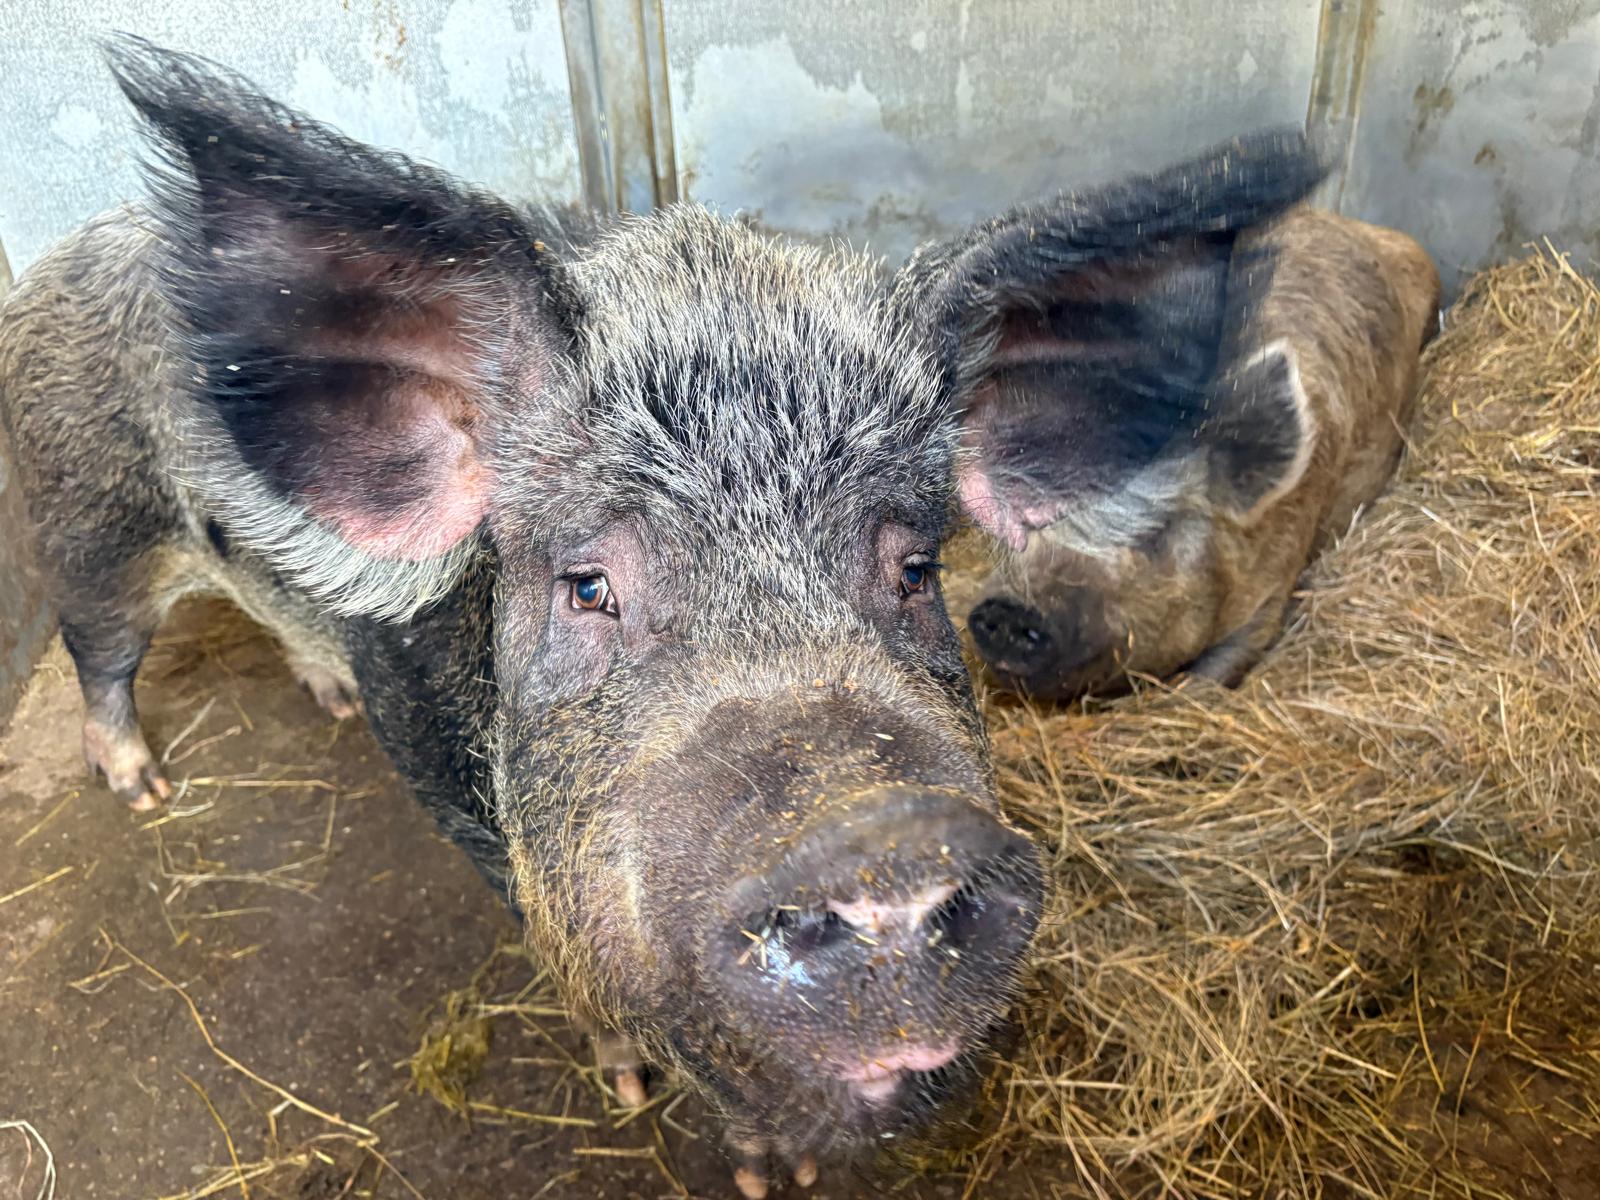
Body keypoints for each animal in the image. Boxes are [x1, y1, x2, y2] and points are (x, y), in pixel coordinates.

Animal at [0, 37, 1323, 1194]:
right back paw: (141, 788)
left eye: (913, 568)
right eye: (588, 586)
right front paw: (662, 1111)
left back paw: (323, 695)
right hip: (86, 515)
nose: (880, 836)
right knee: (97, 647)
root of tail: (67, 251)